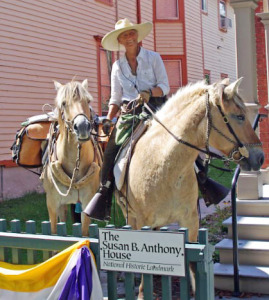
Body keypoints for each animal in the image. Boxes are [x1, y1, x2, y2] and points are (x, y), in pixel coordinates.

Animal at [40, 79, 101, 237]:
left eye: (88, 101)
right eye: (63, 103)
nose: (83, 127)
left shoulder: (87, 202)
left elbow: (84, 232)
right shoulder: (52, 204)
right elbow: (54, 231)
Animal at [113, 77, 264, 298]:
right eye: (239, 116)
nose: (260, 158)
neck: (165, 165)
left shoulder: (191, 222)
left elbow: (192, 269)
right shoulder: (139, 222)